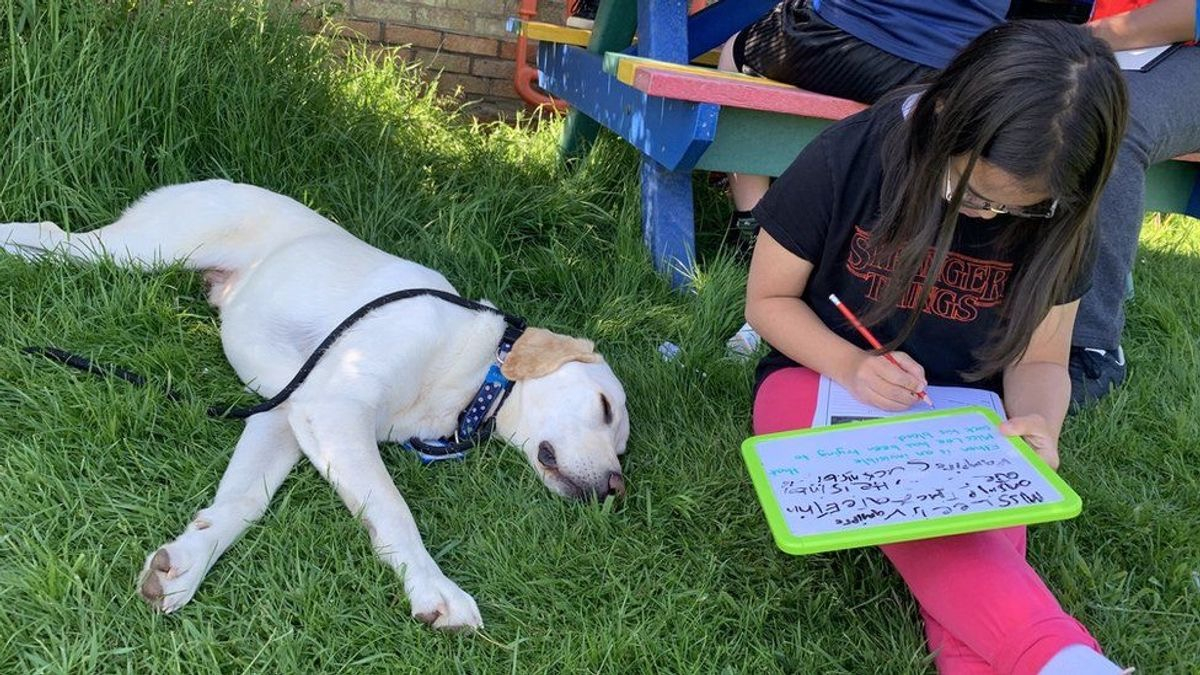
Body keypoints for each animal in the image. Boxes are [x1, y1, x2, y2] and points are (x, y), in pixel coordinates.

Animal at [0, 177, 633, 624]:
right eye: (604, 407)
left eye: (622, 447)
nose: (615, 488)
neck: (479, 369)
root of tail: (208, 179)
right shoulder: (333, 410)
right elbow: (394, 510)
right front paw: (435, 589)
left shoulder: (286, 413)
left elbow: (243, 501)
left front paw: (187, 562)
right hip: (140, 249)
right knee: (53, 237)